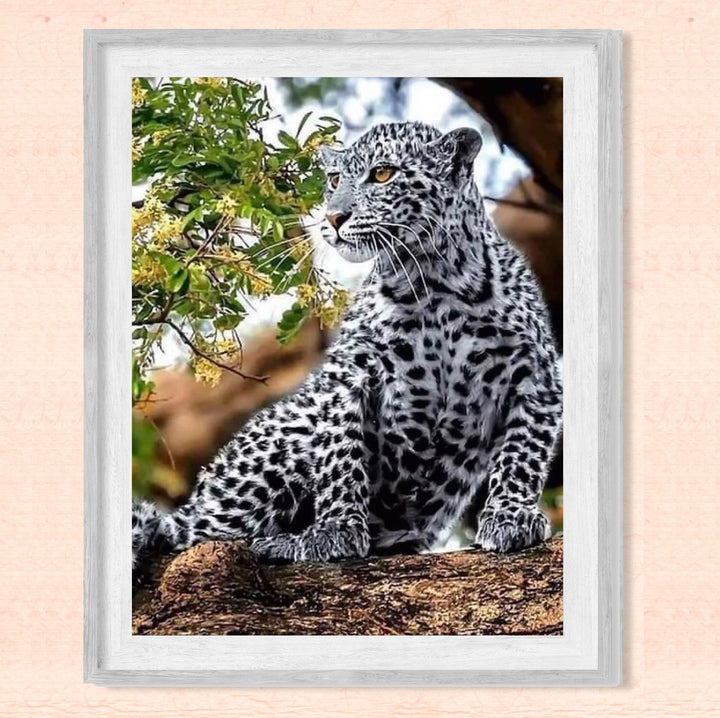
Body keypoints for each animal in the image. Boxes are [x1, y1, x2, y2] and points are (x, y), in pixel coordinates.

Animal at [132, 121, 563, 570]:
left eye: (383, 174)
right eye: (335, 180)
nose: (334, 217)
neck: (434, 281)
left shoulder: (536, 374)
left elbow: (524, 451)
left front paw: (512, 516)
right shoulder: (348, 374)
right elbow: (341, 453)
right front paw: (335, 530)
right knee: (191, 536)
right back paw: (278, 541)